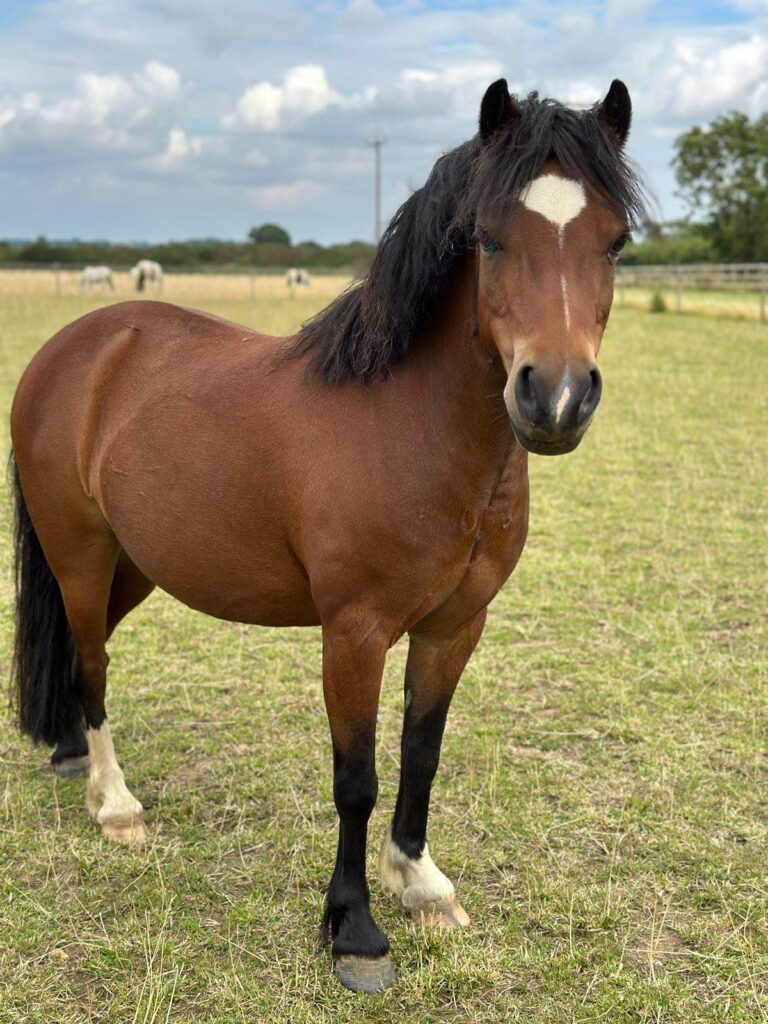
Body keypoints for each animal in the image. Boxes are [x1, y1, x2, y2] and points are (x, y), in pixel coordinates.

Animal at [9, 79, 642, 994]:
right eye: (488, 237)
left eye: (616, 241)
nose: (554, 399)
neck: (409, 424)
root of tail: (74, 348)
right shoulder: (355, 632)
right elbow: (357, 778)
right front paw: (355, 932)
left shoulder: (455, 627)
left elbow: (421, 755)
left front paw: (421, 885)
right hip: (83, 556)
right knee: (92, 663)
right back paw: (116, 805)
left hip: (135, 566)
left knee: (76, 651)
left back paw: (69, 757)